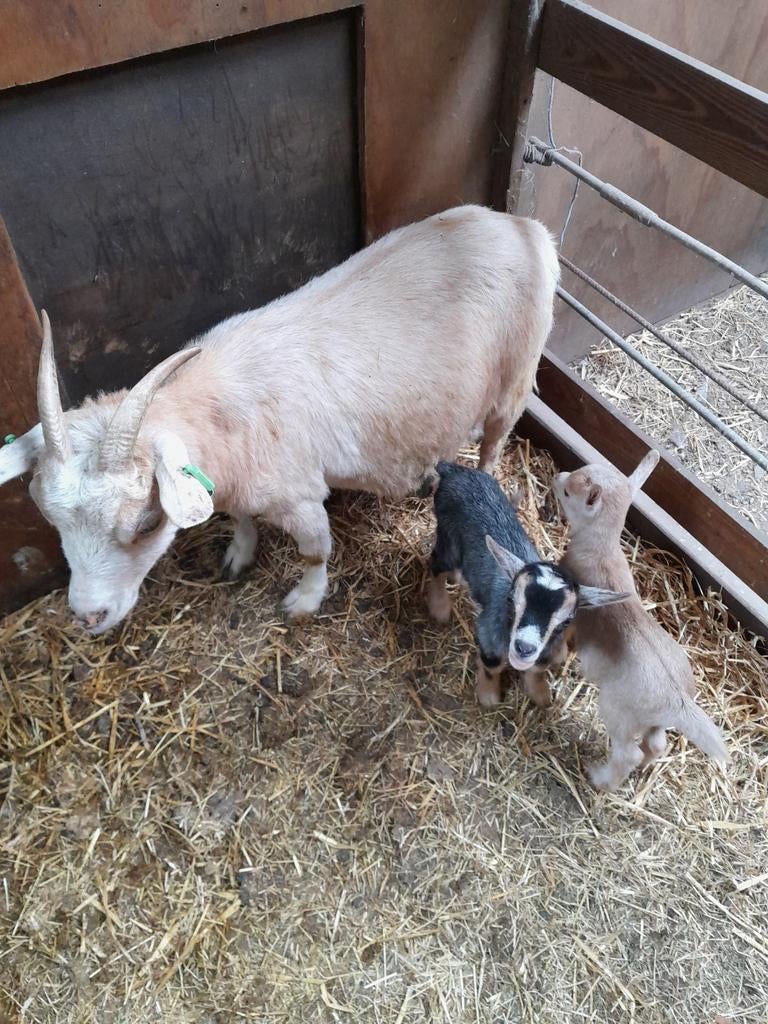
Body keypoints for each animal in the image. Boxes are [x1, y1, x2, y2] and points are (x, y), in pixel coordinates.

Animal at [0, 205, 558, 634]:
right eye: (50, 518)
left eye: (146, 522)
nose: (88, 616)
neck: (218, 410)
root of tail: (525, 227)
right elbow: (240, 516)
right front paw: (238, 554)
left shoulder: (300, 496)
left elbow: (315, 552)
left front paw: (305, 601)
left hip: (514, 380)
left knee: (492, 447)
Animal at [427, 462, 629, 707]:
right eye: (511, 599)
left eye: (567, 620)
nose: (524, 648)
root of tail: (454, 470)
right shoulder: (488, 630)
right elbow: (492, 664)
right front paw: (488, 695)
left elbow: (538, 669)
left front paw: (540, 694)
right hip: (449, 538)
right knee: (436, 563)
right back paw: (439, 606)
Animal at [554, 450, 728, 791]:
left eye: (567, 492)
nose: (558, 477)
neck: (603, 548)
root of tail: (678, 700)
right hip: (654, 722)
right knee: (657, 744)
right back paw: (646, 766)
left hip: (617, 711)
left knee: (627, 754)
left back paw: (601, 779)